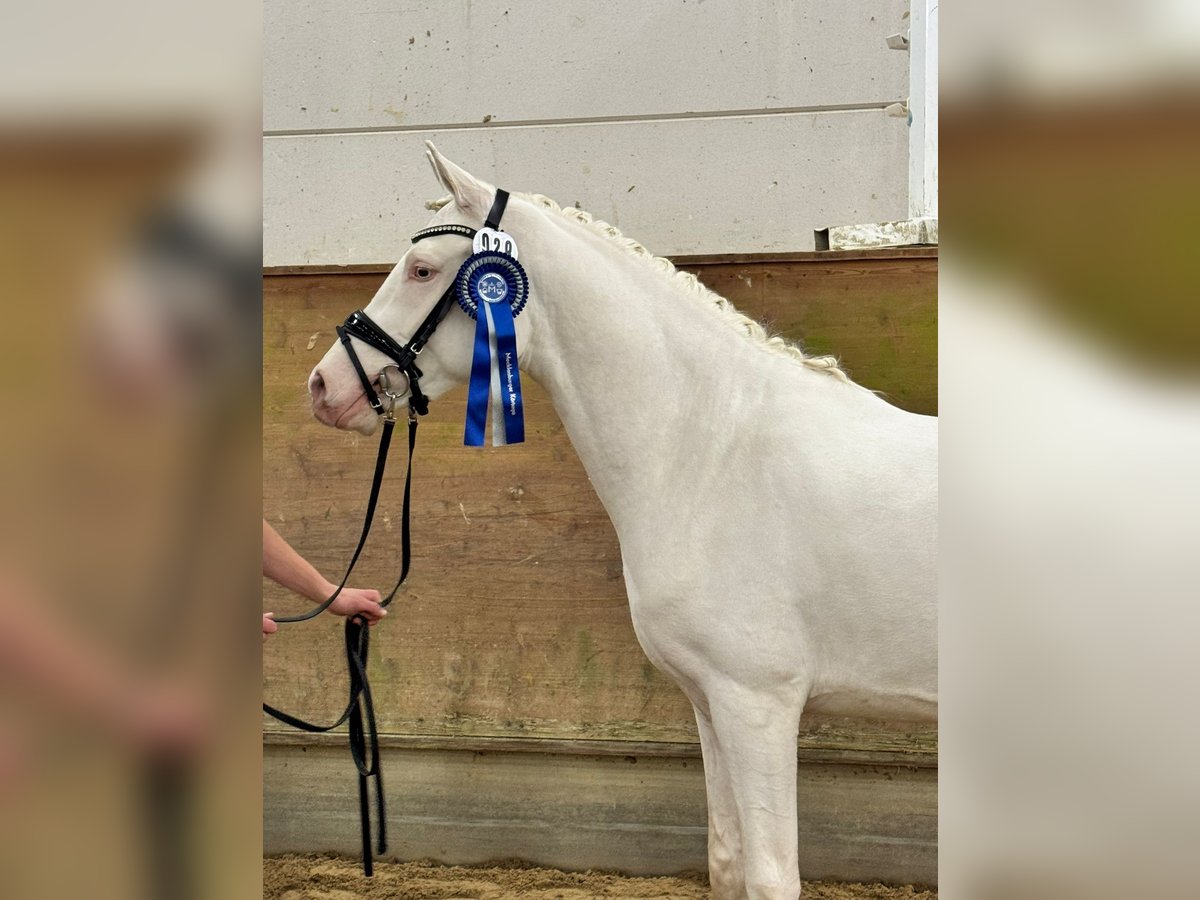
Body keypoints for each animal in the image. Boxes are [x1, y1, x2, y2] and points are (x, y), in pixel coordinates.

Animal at [307, 144, 937, 900]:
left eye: (422, 270)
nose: (324, 386)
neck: (714, 453)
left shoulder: (758, 703)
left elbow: (769, 876)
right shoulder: (711, 704)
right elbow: (727, 861)